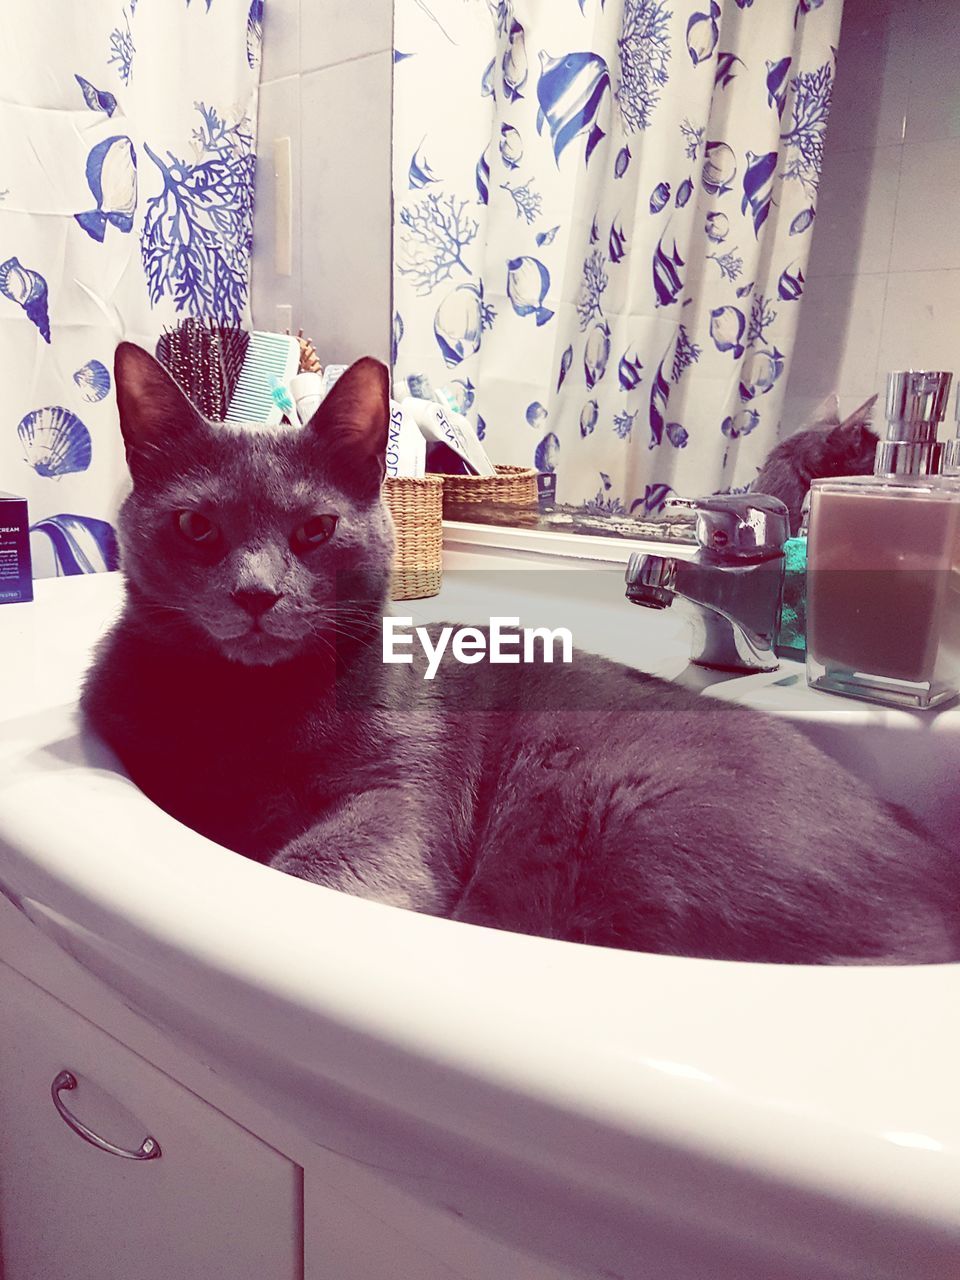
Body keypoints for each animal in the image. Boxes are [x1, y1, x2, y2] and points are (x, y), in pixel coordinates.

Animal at [84, 345, 960, 962]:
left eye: (314, 530)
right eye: (197, 527)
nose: (257, 594)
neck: (250, 714)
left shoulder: (399, 803)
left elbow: (315, 866)